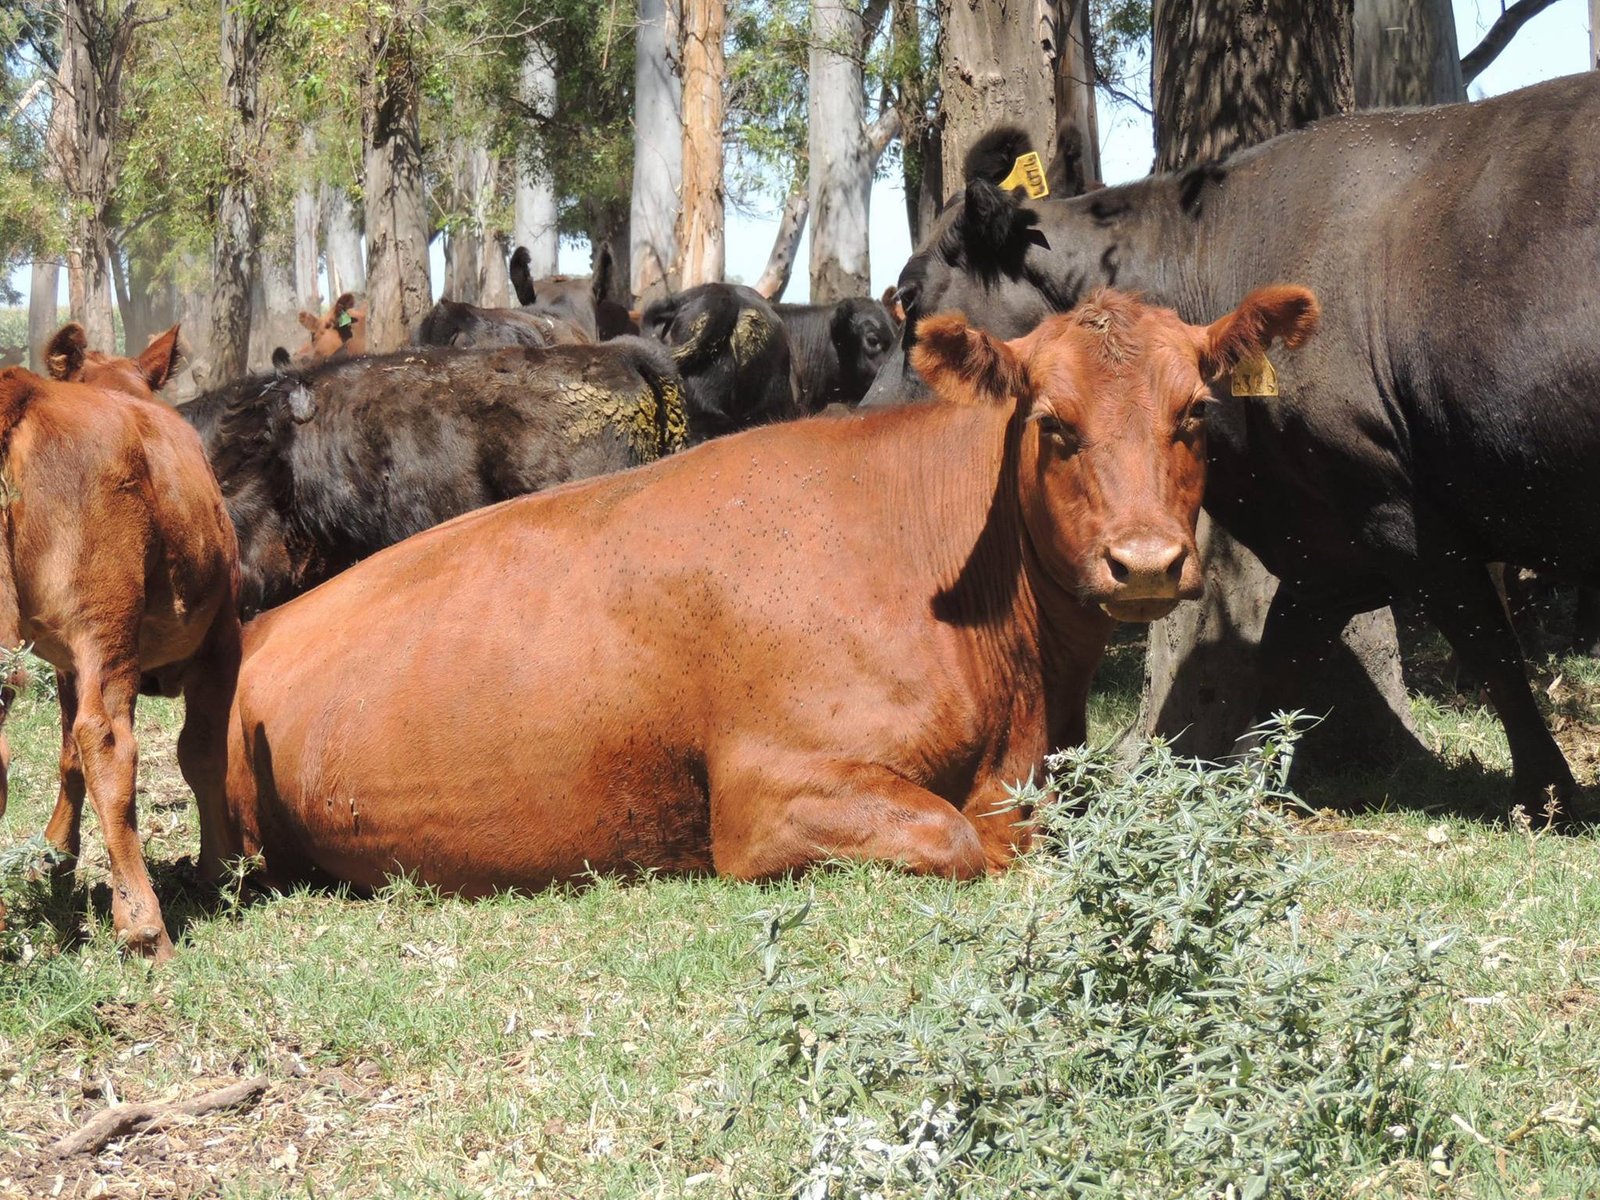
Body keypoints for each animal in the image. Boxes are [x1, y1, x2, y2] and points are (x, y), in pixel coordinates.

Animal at [0, 324, 241, 959]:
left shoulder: (63, 664)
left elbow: (66, 759)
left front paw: (57, 860)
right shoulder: (223, 638)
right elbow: (204, 752)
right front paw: (218, 867)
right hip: (105, 623)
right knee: (107, 741)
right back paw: (142, 922)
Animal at [873, 71, 1600, 813]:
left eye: (910, 297)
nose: (864, 420)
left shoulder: (1404, 515)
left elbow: (1492, 648)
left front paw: (1548, 795)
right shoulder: (1326, 540)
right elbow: (1281, 657)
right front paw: (1250, 778)